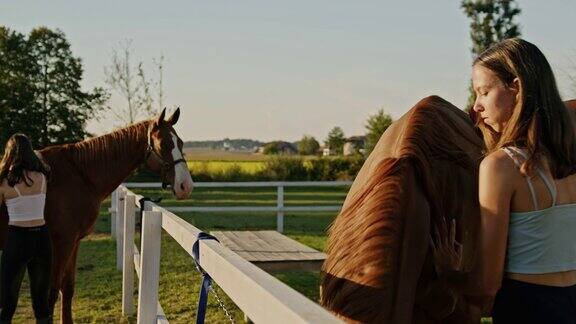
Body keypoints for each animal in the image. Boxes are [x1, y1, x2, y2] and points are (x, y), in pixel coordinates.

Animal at [0, 108, 195, 322]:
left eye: (181, 143)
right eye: (163, 144)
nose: (185, 186)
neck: (80, 175)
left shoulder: (74, 242)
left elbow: (67, 287)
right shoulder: (61, 243)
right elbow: (51, 293)